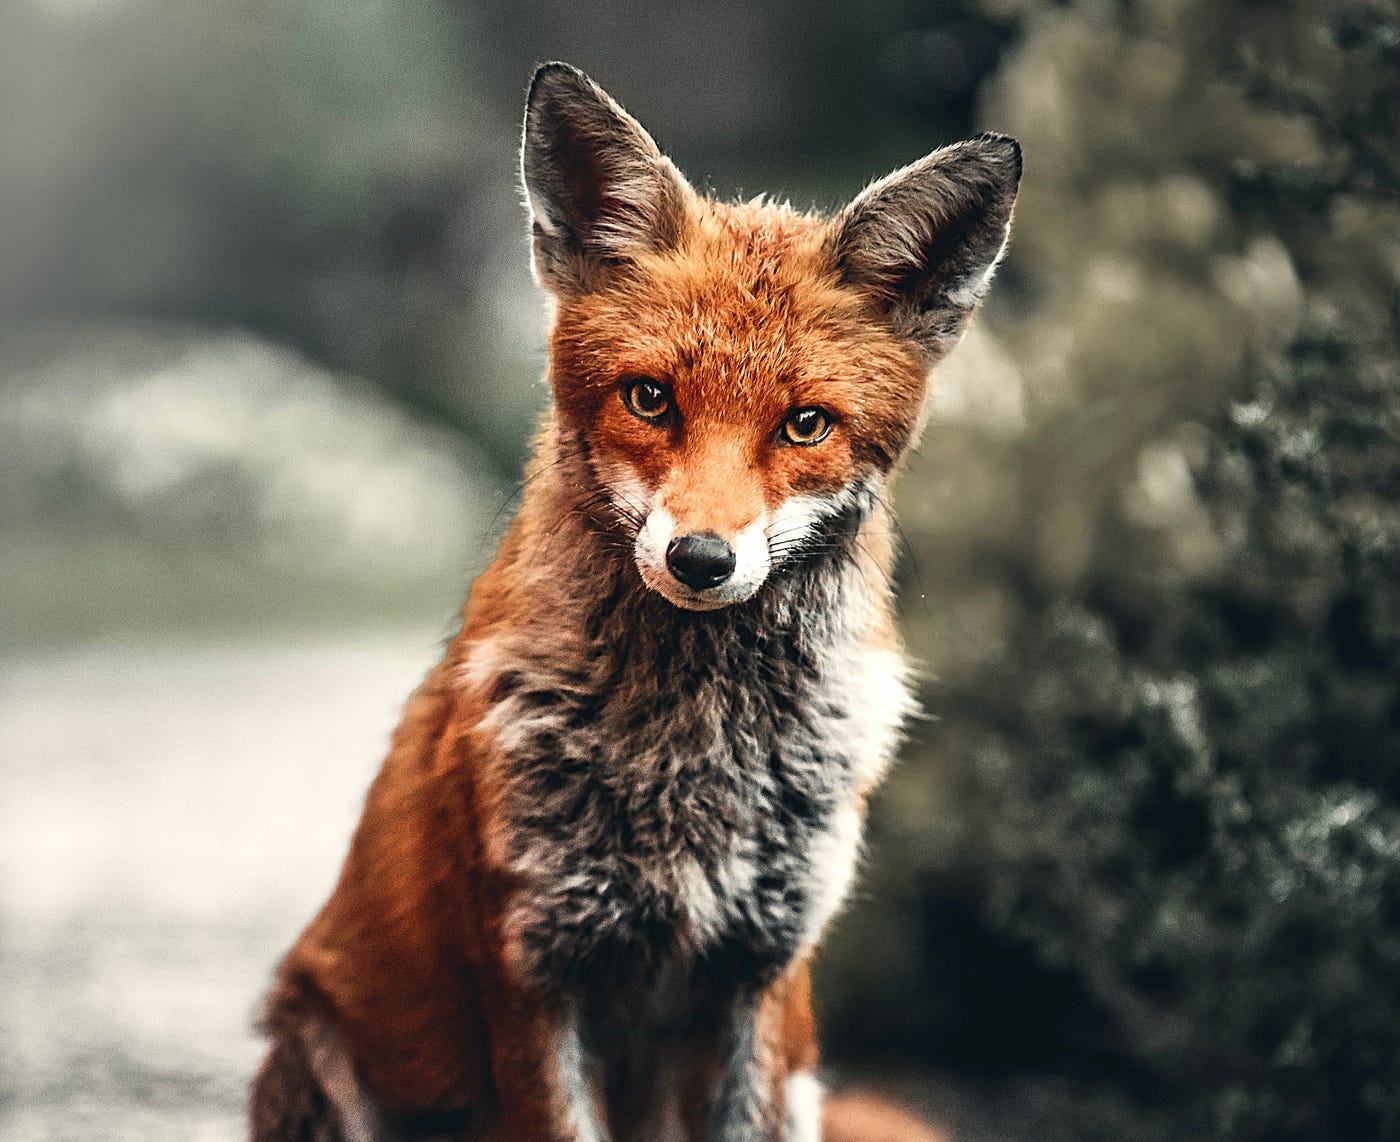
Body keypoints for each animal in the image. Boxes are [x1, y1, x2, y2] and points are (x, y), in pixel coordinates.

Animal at [249, 62, 1019, 1142]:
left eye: (805, 424)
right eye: (650, 398)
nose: (700, 558)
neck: (694, 757)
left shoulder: (761, 971)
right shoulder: (534, 969)